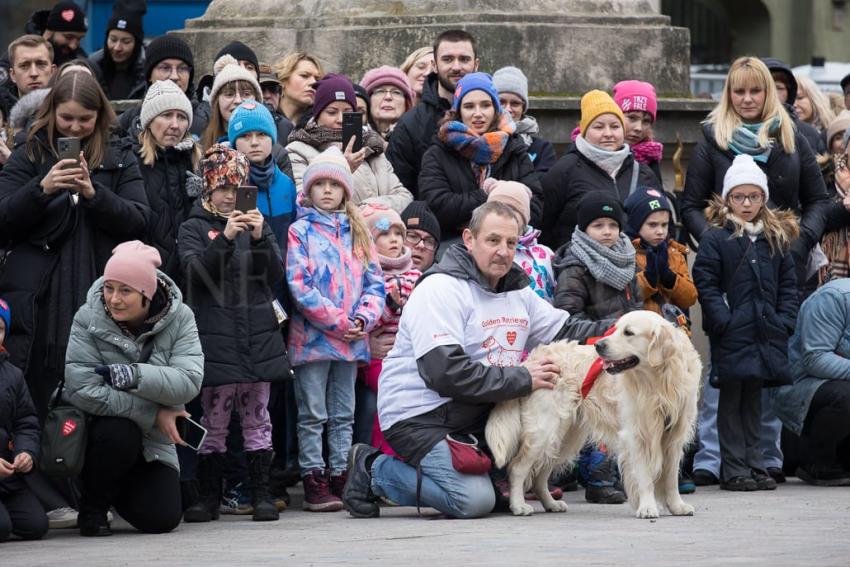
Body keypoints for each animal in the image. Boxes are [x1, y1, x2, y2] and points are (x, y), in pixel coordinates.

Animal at [486, 310, 700, 520]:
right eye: (616, 329)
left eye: (628, 332)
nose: (598, 345)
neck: (659, 381)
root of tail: (531, 360)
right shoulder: (636, 434)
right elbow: (644, 475)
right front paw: (647, 507)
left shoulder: (674, 436)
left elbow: (671, 477)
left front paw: (677, 505)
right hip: (544, 430)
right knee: (517, 468)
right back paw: (519, 505)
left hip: (563, 437)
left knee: (540, 475)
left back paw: (551, 504)